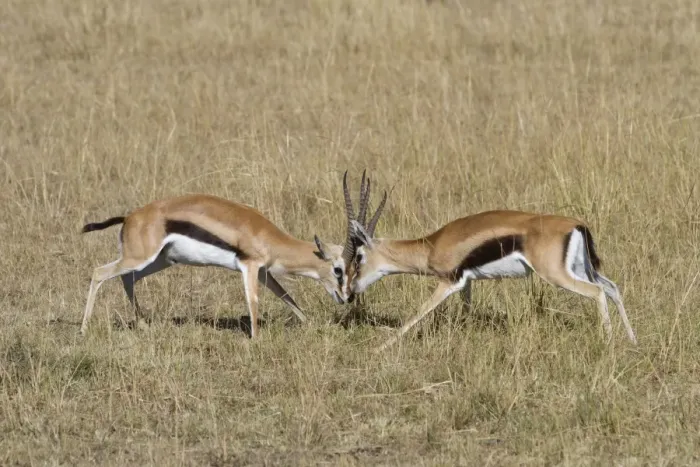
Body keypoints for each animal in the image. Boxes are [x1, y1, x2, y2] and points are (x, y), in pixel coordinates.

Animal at [80, 193, 357, 337]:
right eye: (338, 270)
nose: (347, 297)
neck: (267, 236)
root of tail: (130, 217)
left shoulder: (263, 271)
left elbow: (285, 295)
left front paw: (310, 324)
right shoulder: (249, 266)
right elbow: (253, 301)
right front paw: (256, 340)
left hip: (160, 260)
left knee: (128, 278)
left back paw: (145, 325)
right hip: (140, 258)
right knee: (99, 272)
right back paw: (83, 329)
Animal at [339, 173, 637, 352]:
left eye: (358, 257)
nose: (349, 293)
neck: (431, 245)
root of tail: (577, 224)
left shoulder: (447, 282)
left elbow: (418, 313)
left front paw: (380, 347)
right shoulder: (467, 283)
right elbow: (467, 311)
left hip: (557, 275)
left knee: (597, 292)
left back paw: (609, 343)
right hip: (580, 269)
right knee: (612, 287)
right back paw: (632, 340)